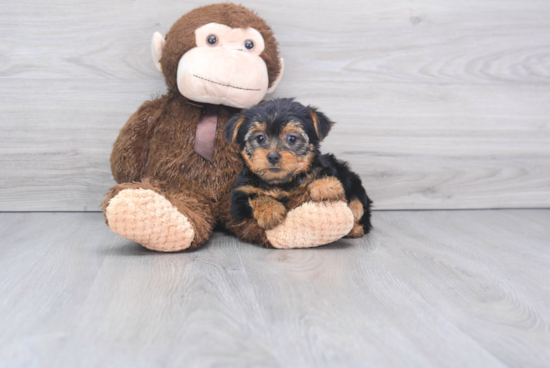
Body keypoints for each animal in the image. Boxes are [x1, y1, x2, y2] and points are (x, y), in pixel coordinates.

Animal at [225, 99, 376, 246]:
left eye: (292, 138)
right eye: (260, 138)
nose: (273, 156)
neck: (282, 182)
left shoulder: (326, 167)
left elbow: (323, 172)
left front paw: (326, 187)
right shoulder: (239, 196)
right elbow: (255, 197)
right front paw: (270, 212)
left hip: (353, 183)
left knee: (358, 207)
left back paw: (354, 229)